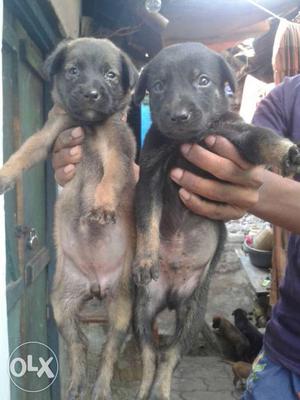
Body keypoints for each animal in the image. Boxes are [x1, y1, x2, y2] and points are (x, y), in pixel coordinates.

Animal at [0, 38, 138, 400]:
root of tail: (95, 284)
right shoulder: (51, 135)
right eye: (74, 70)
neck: (89, 124)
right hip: (61, 303)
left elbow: (111, 178)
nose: (91, 93)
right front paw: (5, 173)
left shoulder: (118, 148)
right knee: (78, 344)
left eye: (110, 75)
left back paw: (100, 387)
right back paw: (76, 382)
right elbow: (24, 151)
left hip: (121, 306)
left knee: (109, 350)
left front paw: (102, 203)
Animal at [132, 41, 300, 400]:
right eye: (159, 86)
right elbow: (147, 220)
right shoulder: (150, 174)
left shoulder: (235, 136)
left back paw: (162, 390)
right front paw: (145, 258)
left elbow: (262, 138)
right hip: (144, 305)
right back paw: (146, 388)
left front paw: (287, 153)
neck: (187, 140)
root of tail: (170, 297)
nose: (178, 116)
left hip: (194, 311)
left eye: (203, 81)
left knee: (170, 355)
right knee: (151, 354)